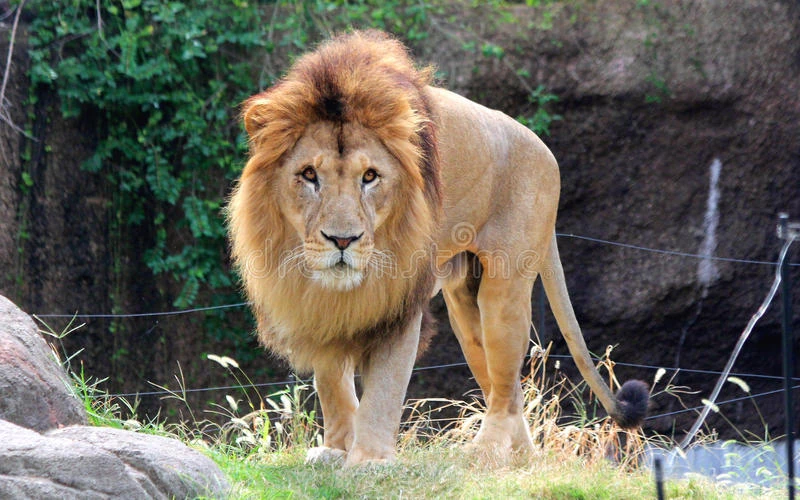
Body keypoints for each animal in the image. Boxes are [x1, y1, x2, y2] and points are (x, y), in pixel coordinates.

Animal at [228, 30, 648, 466]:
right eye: (309, 175)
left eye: (370, 176)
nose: (343, 240)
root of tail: (547, 153)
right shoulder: (317, 307)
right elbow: (331, 383)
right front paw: (336, 450)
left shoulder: (399, 302)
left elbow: (384, 388)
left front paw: (367, 461)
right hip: (465, 307)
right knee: (507, 388)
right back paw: (519, 460)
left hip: (504, 290)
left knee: (505, 387)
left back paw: (482, 454)